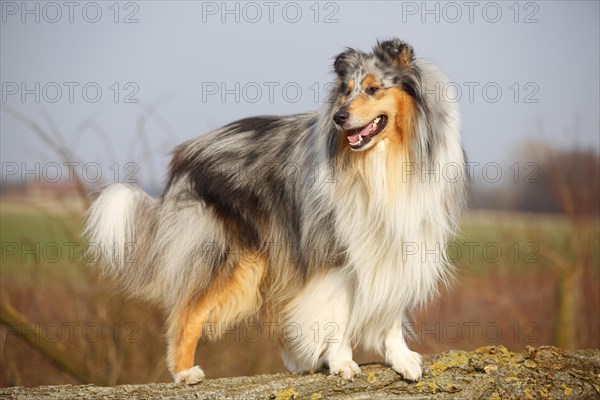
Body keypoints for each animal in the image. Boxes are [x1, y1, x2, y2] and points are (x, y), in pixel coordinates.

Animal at [85, 38, 468, 384]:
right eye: (345, 92)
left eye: (373, 89)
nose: (339, 117)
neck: (384, 160)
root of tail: (185, 155)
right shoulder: (335, 251)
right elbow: (339, 312)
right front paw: (342, 361)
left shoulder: (398, 244)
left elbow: (390, 308)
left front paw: (400, 358)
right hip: (233, 256)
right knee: (188, 312)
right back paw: (183, 372)